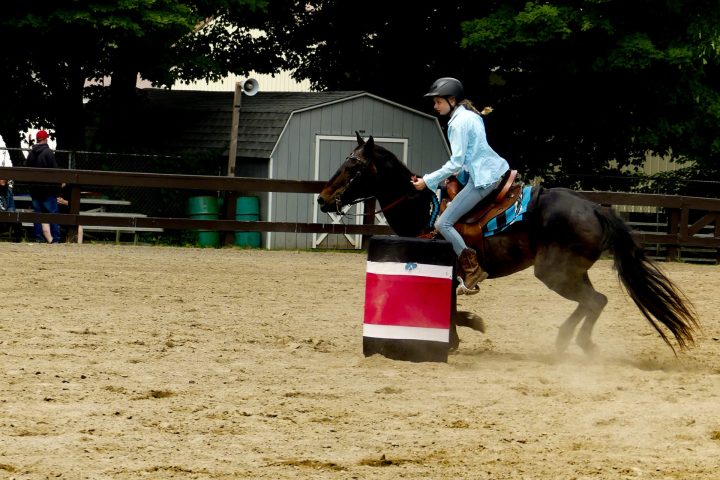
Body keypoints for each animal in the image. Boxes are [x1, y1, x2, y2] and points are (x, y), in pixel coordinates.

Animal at [317, 132, 700, 355]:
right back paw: (569, 342)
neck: (423, 209)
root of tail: (594, 207)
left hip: (554, 273)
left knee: (594, 301)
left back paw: (570, 342)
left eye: (353, 167)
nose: (322, 199)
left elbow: (452, 310)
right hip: (571, 272)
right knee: (595, 301)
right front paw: (465, 330)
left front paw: (462, 334)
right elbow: (451, 309)